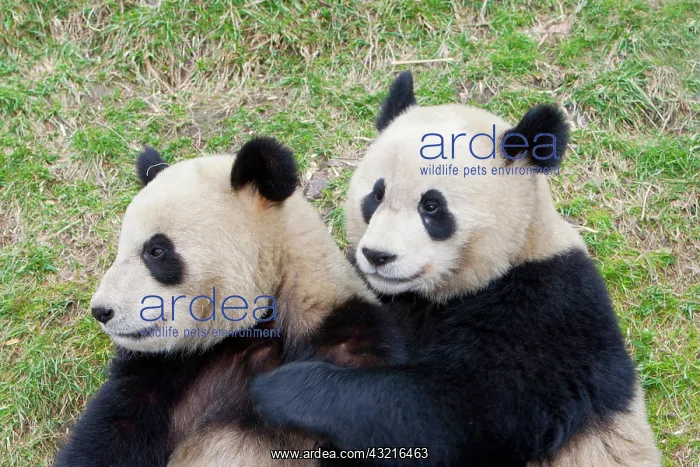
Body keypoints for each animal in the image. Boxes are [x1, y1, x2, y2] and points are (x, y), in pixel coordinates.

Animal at [54, 137, 403, 467]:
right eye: (120, 249)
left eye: (156, 251)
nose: (101, 311)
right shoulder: (164, 371)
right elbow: (111, 434)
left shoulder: (347, 337)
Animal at [249, 72, 662, 466]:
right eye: (376, 196)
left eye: (431, 207)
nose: (378, 255)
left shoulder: (548, 311)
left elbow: (458, 414)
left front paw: (283, 389)